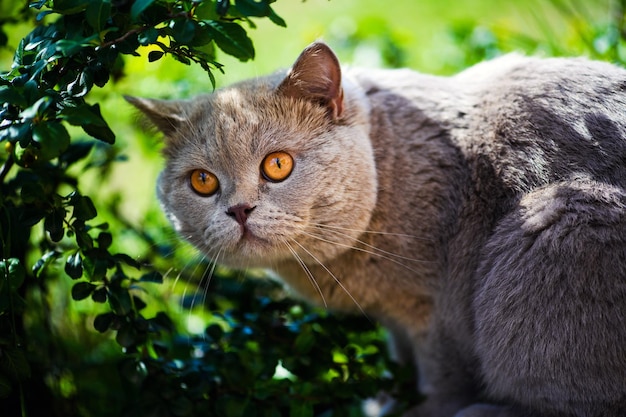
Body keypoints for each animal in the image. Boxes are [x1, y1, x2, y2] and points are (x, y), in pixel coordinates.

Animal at [125, 43, 624, 416]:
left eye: (277, 165)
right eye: (202, 182)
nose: (240, 210)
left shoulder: (437, 313)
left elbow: (440, 382)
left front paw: (420, 411)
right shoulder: (397, 323)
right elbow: (401, 366)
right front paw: (385, 401)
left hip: (560, 221)